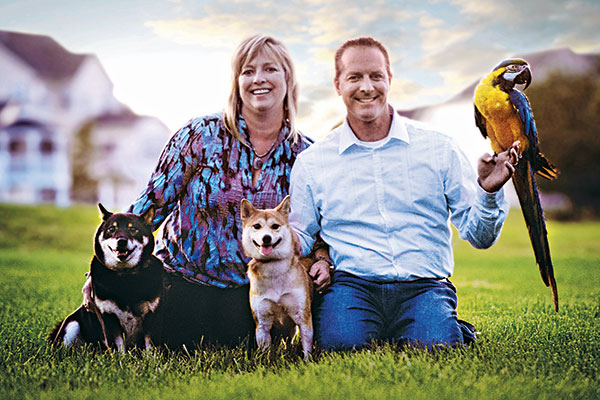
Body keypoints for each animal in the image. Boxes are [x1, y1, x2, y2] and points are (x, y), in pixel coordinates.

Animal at [47, 205, 166, 352]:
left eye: (133, 229)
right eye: (111, 229)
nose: (121, 241)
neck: (125, 276)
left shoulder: (152, 315)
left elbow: (151, 349)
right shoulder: (108, 317)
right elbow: (118, 348)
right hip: (72, 324)